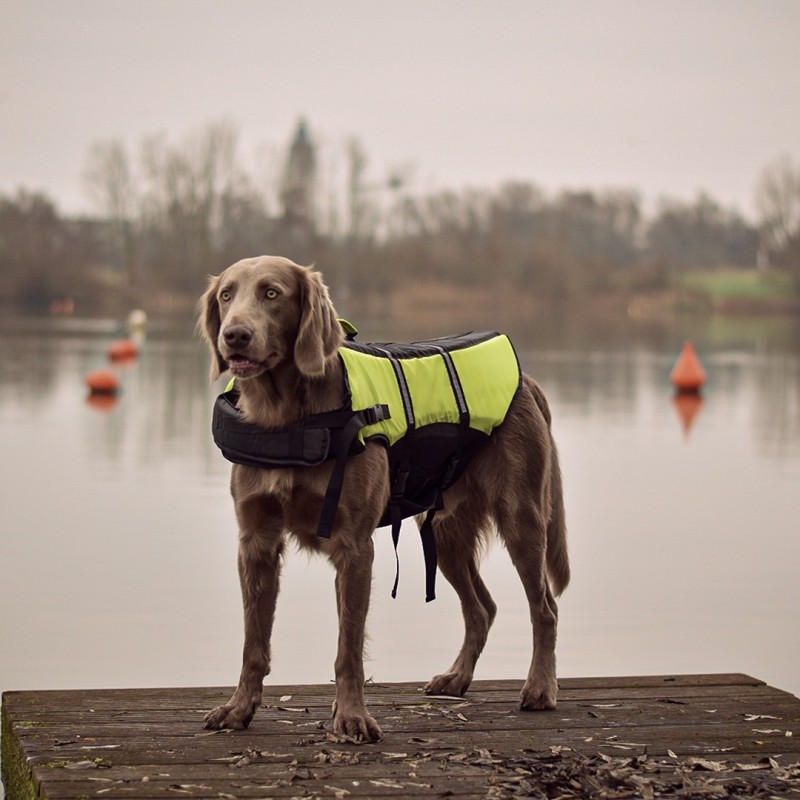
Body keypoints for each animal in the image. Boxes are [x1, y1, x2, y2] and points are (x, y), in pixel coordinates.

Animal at [197, 256, 564, 744]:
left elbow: (348, 648)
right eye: (226, 295)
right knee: (482, 608)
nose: (234, 334)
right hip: (444, 532)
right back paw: (457, 678)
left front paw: (352, 716)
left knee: (545, 608)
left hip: (521, 518)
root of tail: (527, 382)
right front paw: (239, 708)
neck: (287, 419)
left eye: (272, 293)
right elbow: (253, 644)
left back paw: (540, 687)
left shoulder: (354, 546)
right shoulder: (256, 542)